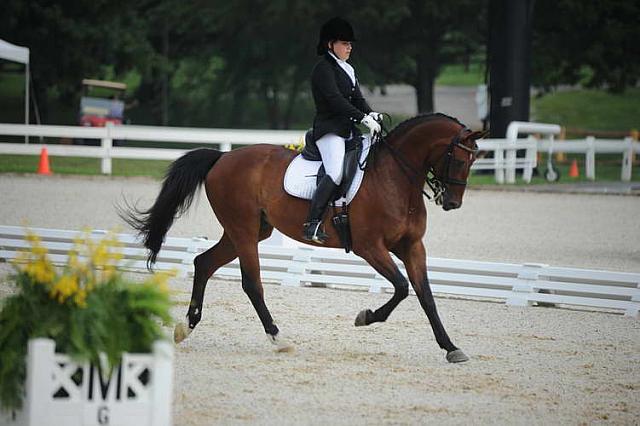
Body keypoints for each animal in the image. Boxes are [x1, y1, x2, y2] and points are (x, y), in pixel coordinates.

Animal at [121, 112, 484, 362]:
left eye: (474, 160)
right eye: (457, 158)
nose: (452, 203)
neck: (394, 178)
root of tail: (223, 157)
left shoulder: (412, 247)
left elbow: (425, 295)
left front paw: (451, 348)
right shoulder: (370, 247)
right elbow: (401, 287)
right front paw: (366, 317)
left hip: (250, 231)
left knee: (203, 263)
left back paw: (186, 327)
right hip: (243, 230)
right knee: (251, 283)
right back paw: (278, 339)